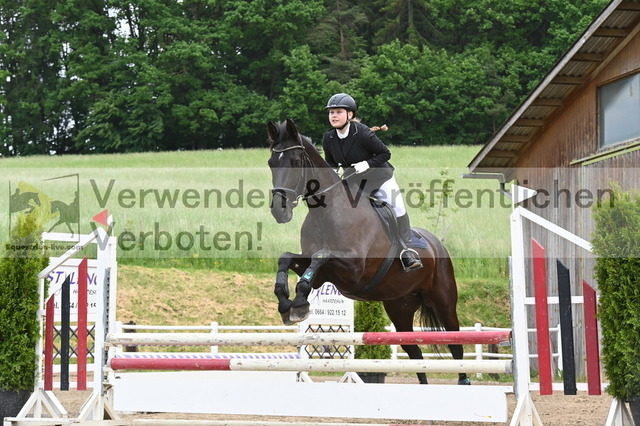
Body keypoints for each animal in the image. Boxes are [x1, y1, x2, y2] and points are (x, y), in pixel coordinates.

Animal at [266, 119, 468, 385]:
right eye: (271, 163)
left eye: (296, 162)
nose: (279, 212)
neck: (326, 212)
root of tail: (437, 242)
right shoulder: (322, 273)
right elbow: (288, 259)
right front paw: (287, 304)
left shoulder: (353, 269)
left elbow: (321, 256)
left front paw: (298, 304)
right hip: (399, 306)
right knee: (414, 351)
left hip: (443, 299)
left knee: (455, 343)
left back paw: (464, 382)